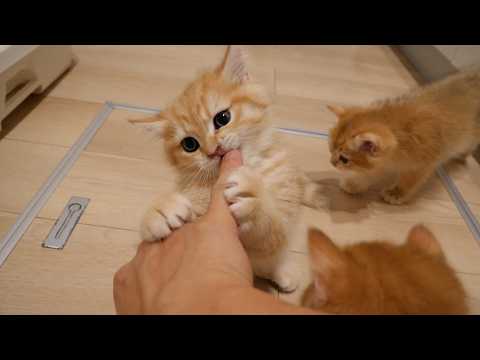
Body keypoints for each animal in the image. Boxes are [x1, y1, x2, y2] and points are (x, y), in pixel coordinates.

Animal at [131, 45, 312, 292]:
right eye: (189, 144)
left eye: (222, 118)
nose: (213, 150)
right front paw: (158, 211)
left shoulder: (281, 221)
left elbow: (271, 231)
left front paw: (255, 197)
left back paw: (284, 274)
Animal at [328, 66, 480, 204]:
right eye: (330, 149)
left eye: (344, 159)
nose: (332, 162)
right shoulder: (384, 160)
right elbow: (371, 171)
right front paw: (355, 184)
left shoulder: (421, 165)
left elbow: (409, 180)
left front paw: (396, 193)